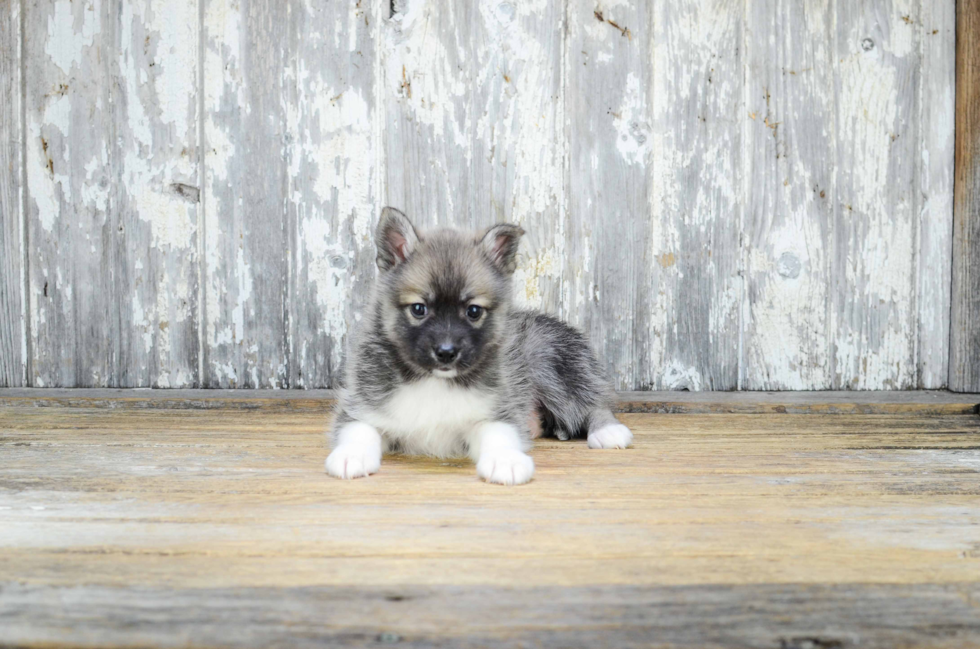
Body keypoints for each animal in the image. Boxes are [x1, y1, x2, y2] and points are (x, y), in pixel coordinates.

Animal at [328, 205, 636, 484]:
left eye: (473, 311)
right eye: (418, 309)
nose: (446, 353)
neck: (435, 381)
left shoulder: (498, 409)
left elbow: (499, 435)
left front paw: (506, 460)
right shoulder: (362, 405)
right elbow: (359, 429)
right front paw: (351, 455)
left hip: (552, 366)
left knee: (594, 402)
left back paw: (607, 431)